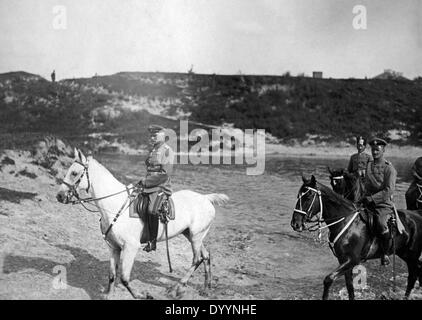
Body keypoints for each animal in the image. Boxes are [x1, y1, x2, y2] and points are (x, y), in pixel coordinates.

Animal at [56, 149, 229, 298]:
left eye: (74, 173)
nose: (59, 196)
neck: (115, 205)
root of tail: (206, 198)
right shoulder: (113, 247)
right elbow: (112, 275)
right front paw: (110, 295)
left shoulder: (131, 248)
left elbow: (124, 278)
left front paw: (142, 295)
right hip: (191, 235)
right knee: (206, 256)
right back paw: (206, 288)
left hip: (195, 236)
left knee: (197, 259)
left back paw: (177, 288)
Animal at [292, 175, 422, 300]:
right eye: (299, 196)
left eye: (308, 196)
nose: (295, 224)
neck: (345, 221)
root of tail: (417, 214)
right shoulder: (343, 261)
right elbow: (350, 287)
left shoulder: (352, 260)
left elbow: (329, 279)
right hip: (405, 254)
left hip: (412, 256)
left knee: (413, 276)